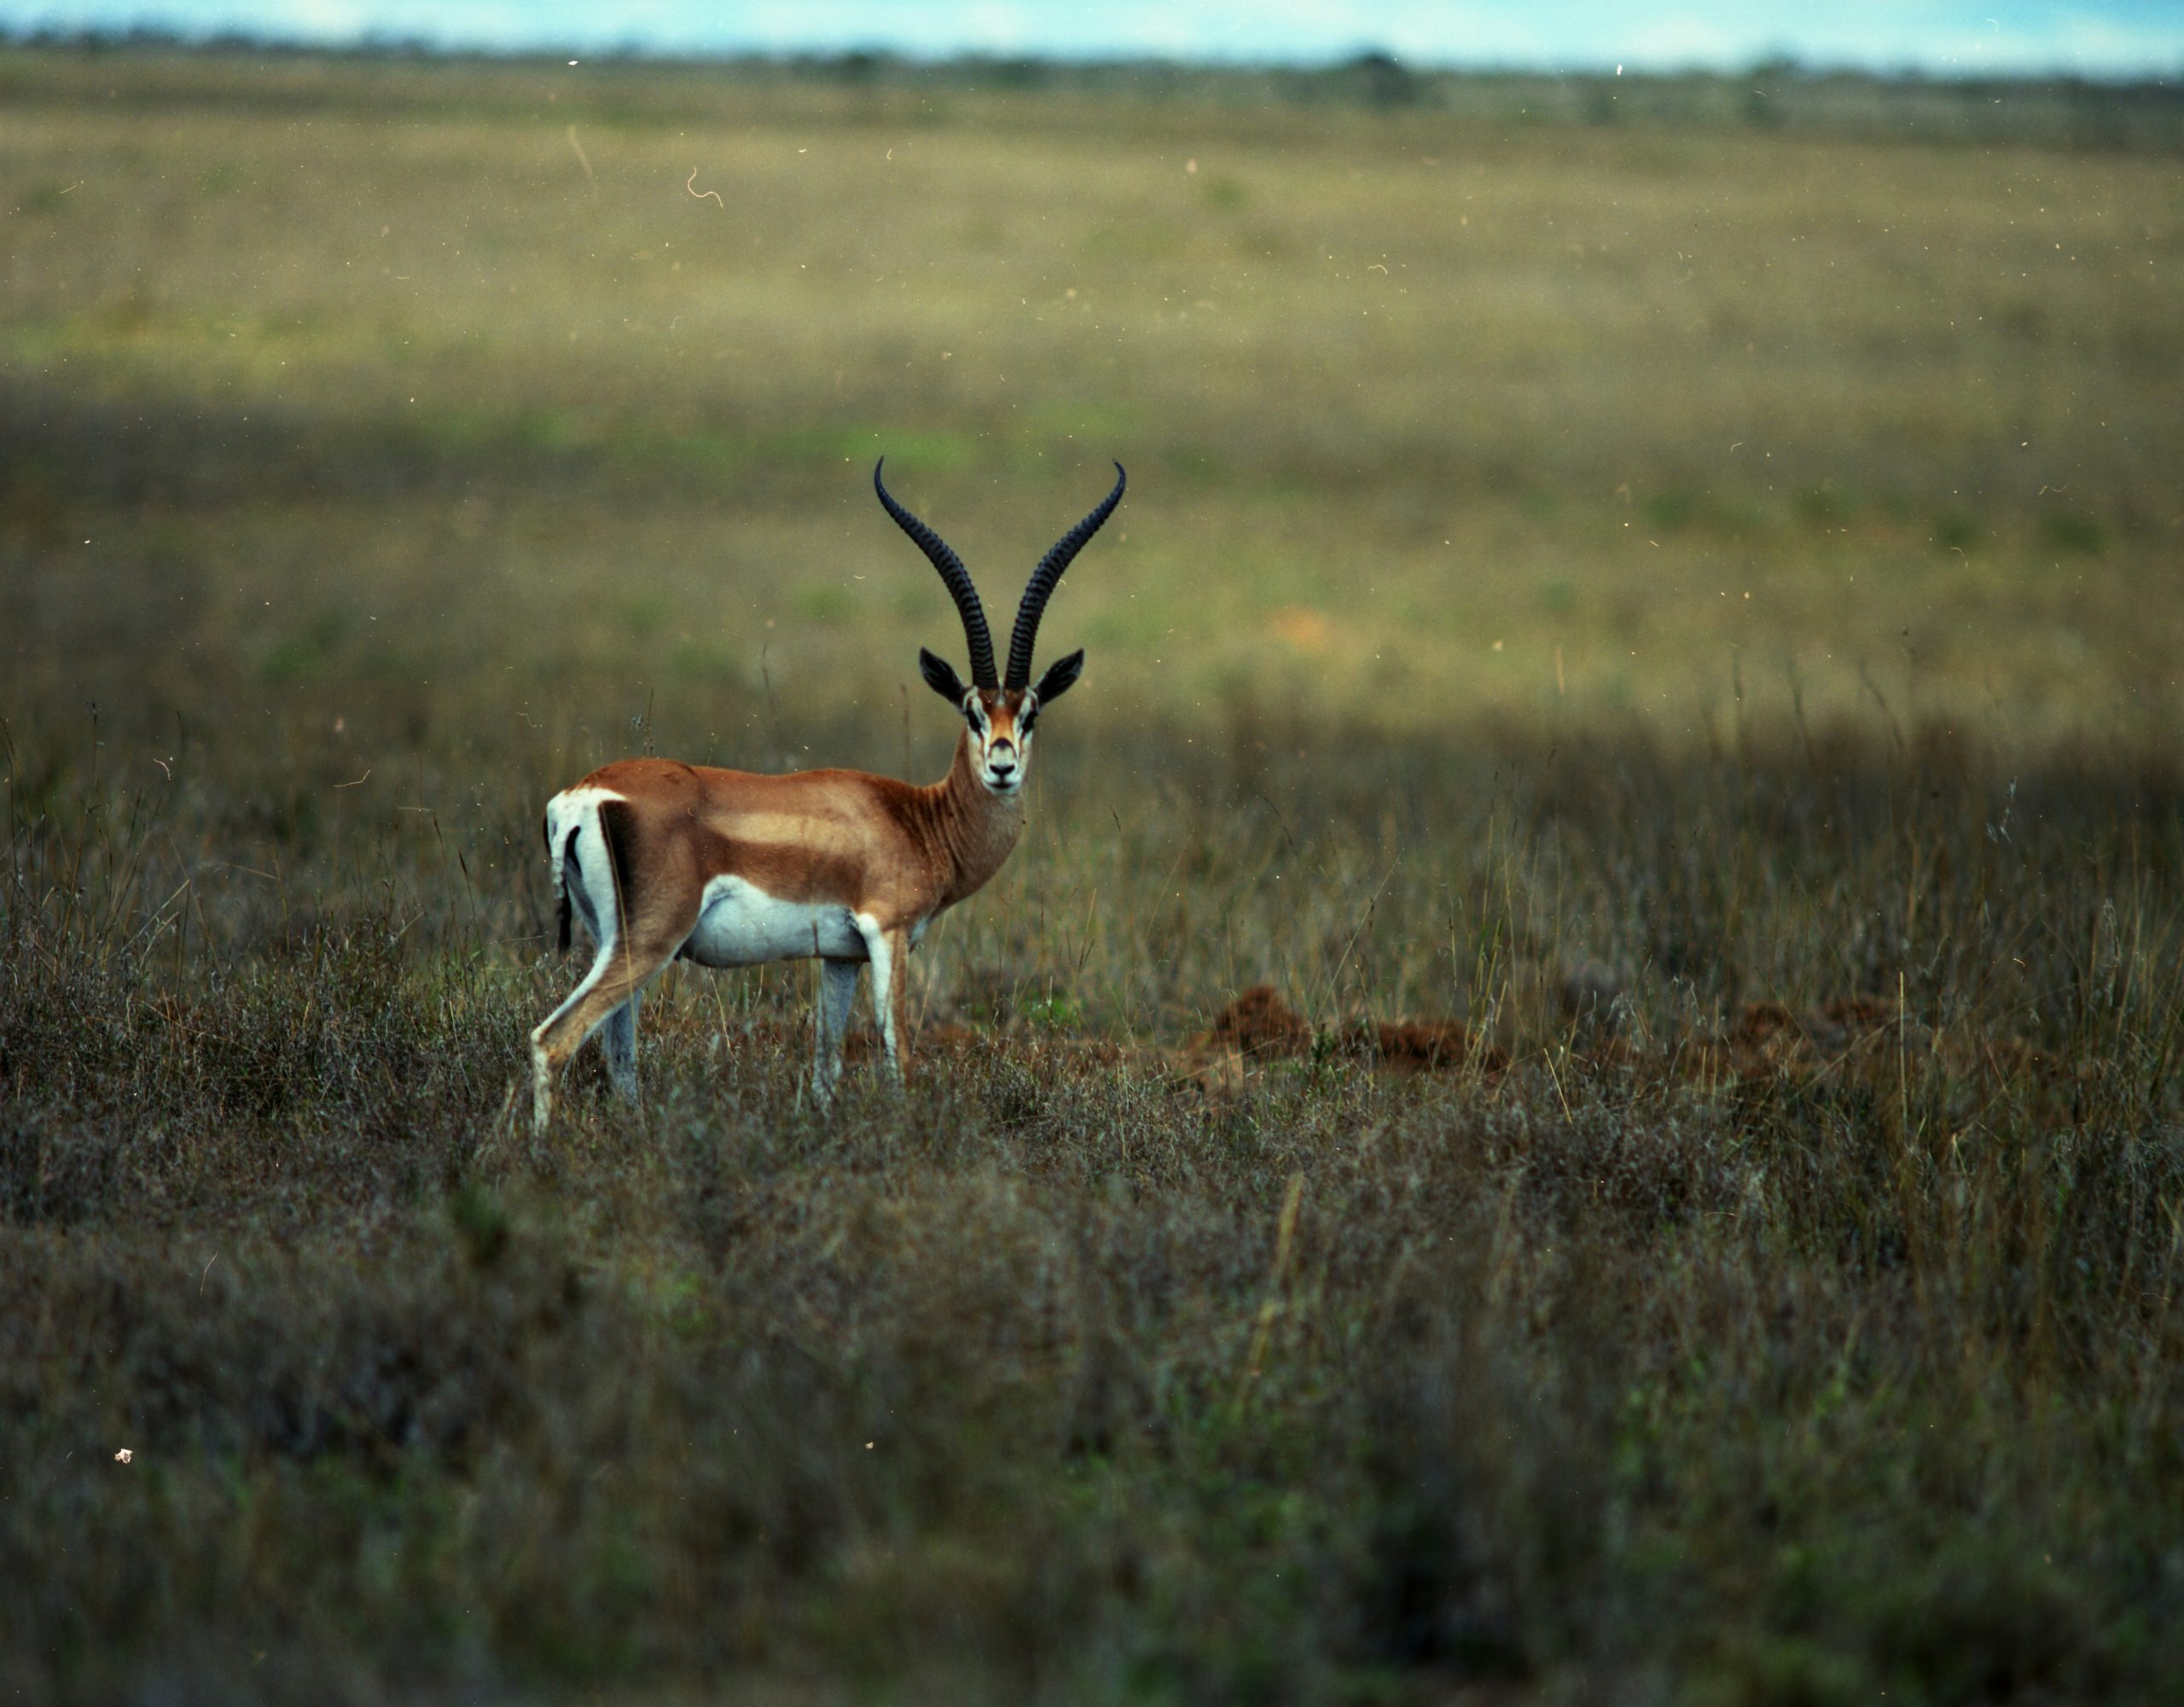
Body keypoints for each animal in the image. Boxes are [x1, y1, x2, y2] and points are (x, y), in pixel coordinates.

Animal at [529, 458, 1125, 1130]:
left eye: (1031, 714)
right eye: (972, 712)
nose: (1002, 766)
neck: (917, 819)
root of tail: (580, 798)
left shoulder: (840, 957)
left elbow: (826, 1062)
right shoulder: (887, 934)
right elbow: (898, 1057)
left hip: (610, 938)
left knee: (617, 1051)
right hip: (651, 938)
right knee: (554, 1039)